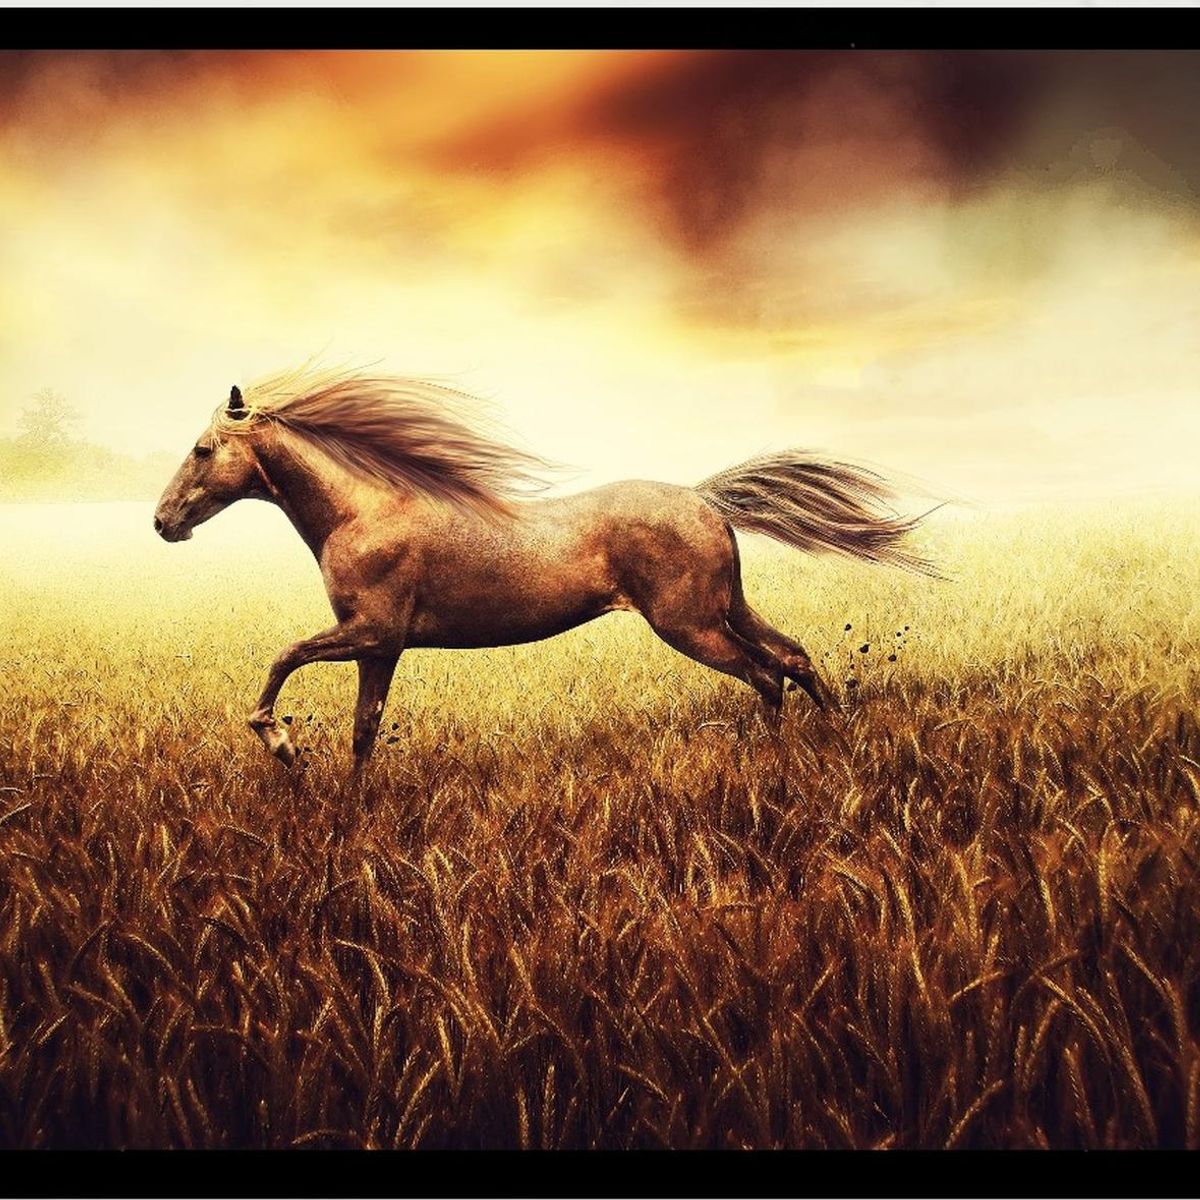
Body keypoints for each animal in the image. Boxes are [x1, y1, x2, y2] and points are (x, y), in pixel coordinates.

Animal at [154, 366, 935, 771]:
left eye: (201, 449)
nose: (163, 522)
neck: (362, 512)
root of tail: (705, 499)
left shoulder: (370, 633)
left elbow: (284, 659)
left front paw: (281, 743)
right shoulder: (380, 649)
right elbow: (363, 733)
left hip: (687, 623)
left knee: (765, 673)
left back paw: (774, 761)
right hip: (725, 607)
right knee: (794, 656)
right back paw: (835, 737)